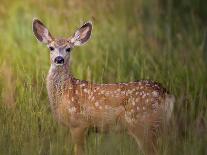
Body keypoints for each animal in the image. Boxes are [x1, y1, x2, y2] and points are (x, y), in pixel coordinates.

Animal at [32, 18, 175, 155]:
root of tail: (166, 94)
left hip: (142, 123)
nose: (59, 59)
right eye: (51, 48)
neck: (64, 92)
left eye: (69, 49)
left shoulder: (78, 124)